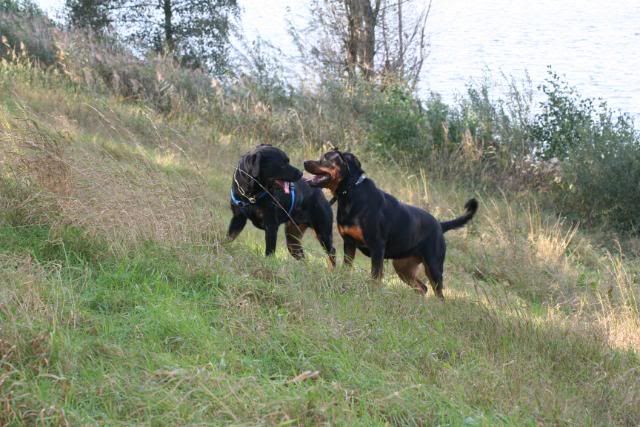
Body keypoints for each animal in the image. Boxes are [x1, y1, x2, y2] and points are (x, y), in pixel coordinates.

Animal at [304, 150, 476, 298]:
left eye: (326, 158)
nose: (305, 162)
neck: (351, 193)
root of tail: (440, 225)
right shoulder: (349, 243)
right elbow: (346, 270)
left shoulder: (377, 247)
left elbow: (375, 277)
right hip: (403, 266)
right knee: (422, 288)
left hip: (434, 266)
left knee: (438, 294)